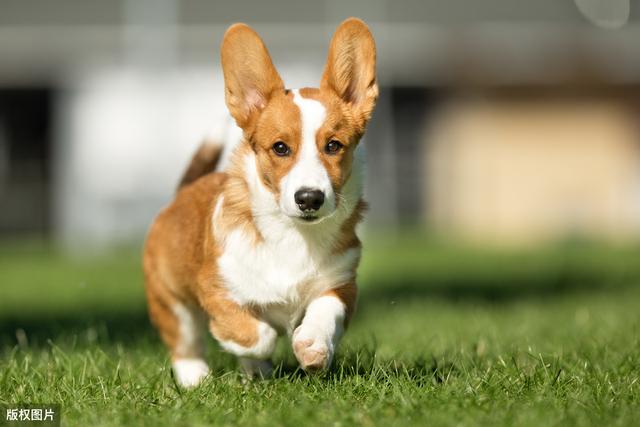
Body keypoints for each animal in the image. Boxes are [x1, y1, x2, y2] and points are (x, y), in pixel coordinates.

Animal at [144, 17, 376, 388]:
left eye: (334, 146)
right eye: (280, 148)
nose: (309, 198)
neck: (293, 235)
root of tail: (185, 190)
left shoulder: (341, 284)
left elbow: (326, 312)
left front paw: (312, 345)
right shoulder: (218, 288)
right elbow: (257, 335)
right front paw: (248, 343)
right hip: (170, 300)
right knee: (184, 341)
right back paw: (196, 378)